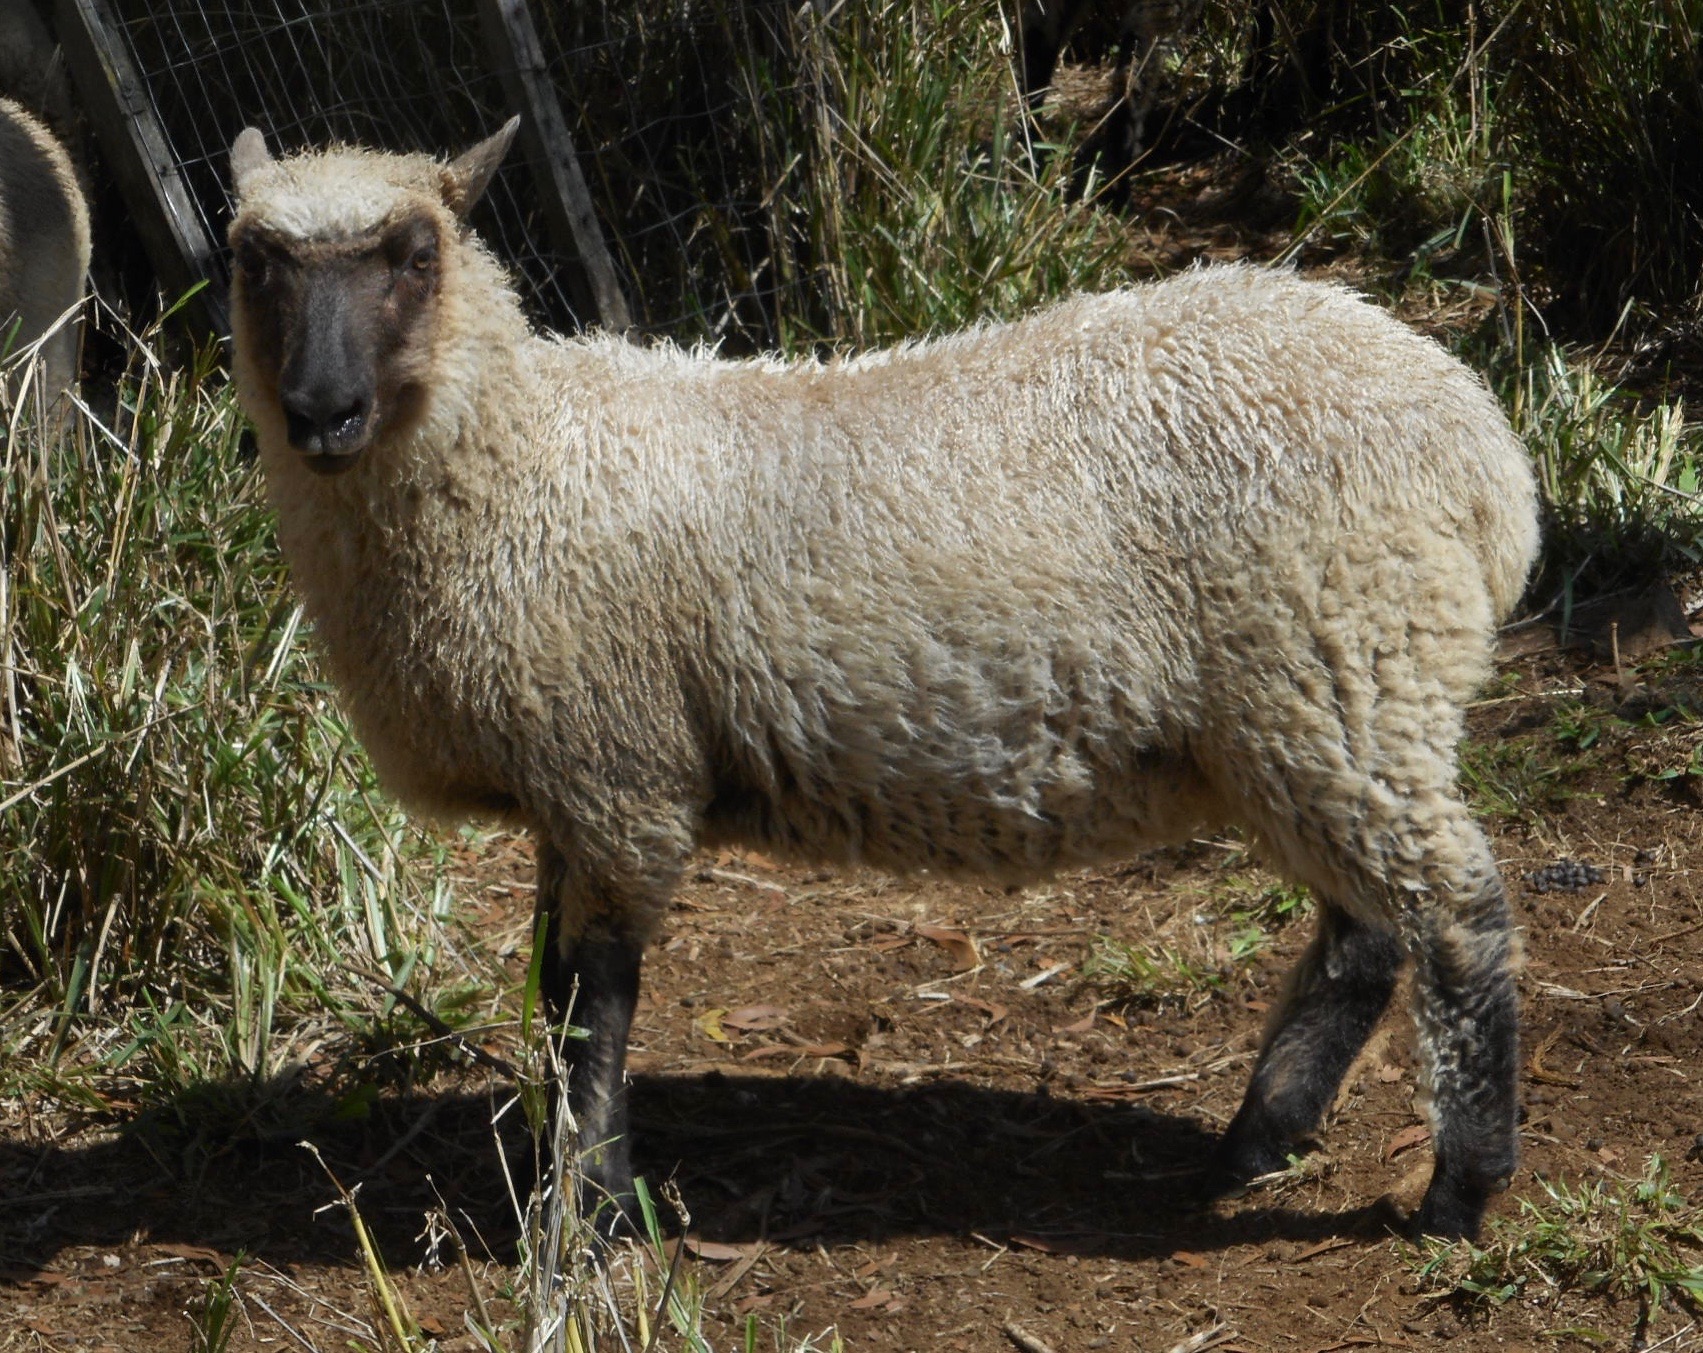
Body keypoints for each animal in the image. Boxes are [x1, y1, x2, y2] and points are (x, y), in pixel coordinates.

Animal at [226, 120, 1546, 1240]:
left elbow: (589, 1007)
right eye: (254, 260)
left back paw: (1458, 1188)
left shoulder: (614, 774)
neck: (525, 457)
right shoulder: (570, 781)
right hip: (1309, 713)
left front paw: (586, 1215)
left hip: (1344, 666)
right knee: (1363, 935)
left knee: (1456, 914)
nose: (321, 411)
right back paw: (1252, 1145)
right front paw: (570, 1192)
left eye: (414, 254)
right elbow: (554, 1000)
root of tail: (1482, 447)